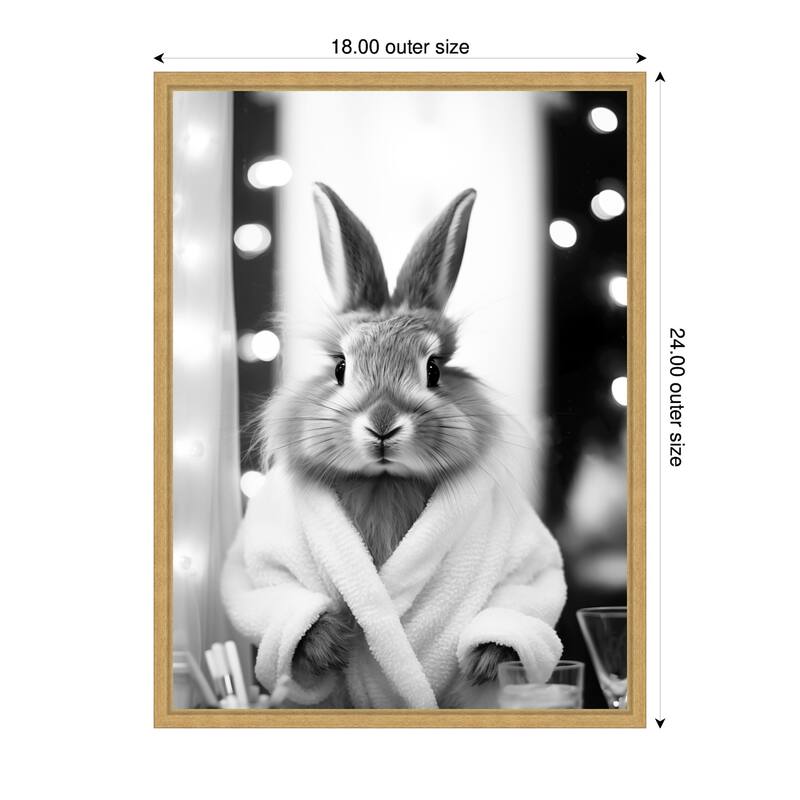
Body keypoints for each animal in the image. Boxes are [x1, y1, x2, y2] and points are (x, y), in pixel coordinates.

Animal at [259, 183, 520, 687]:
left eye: (433, 370)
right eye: (340, 368)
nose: (382, 423)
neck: (383, 482)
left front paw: (485, 663)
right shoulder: (269, 562)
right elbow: (276, 591)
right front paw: (330, 646)